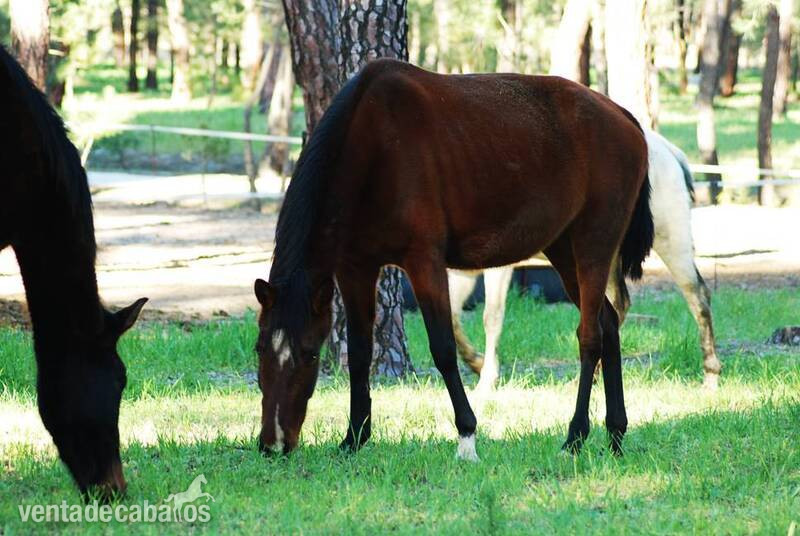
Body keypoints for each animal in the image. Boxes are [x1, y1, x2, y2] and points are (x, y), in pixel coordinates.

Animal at [254, 59, 653, 459]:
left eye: (309, 354)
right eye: (260, 349)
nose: (273, 444)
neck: (372, 147)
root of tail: (624, 119)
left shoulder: (424, 262)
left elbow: (443, 348)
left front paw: (467, 435)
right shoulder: (355, 269)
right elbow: (360, 353)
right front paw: (354, 436)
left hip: (593, 245)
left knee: (590, 335)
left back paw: (575, 435)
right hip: (562, 249)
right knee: (608, 322)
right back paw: (615, 433)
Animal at [450, 129, 721, 391]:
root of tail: (668, 150)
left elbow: (491, 316)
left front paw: (486, 379)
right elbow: (453, 317)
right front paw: (475, 362)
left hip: (671, 240)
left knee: (697, 295)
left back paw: (710, 375)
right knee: (615, 306)